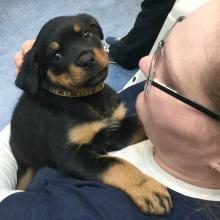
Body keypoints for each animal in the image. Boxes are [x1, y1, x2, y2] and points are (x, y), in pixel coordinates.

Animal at [10, 14, 172, 215]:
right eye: (56, 56)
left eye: (86, 34)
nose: (87, 59)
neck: (87, 98)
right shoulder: (72, 156)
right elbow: (115, 163)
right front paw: (147, 188)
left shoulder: (114, 132)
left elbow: (140, 123)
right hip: (25, 167)